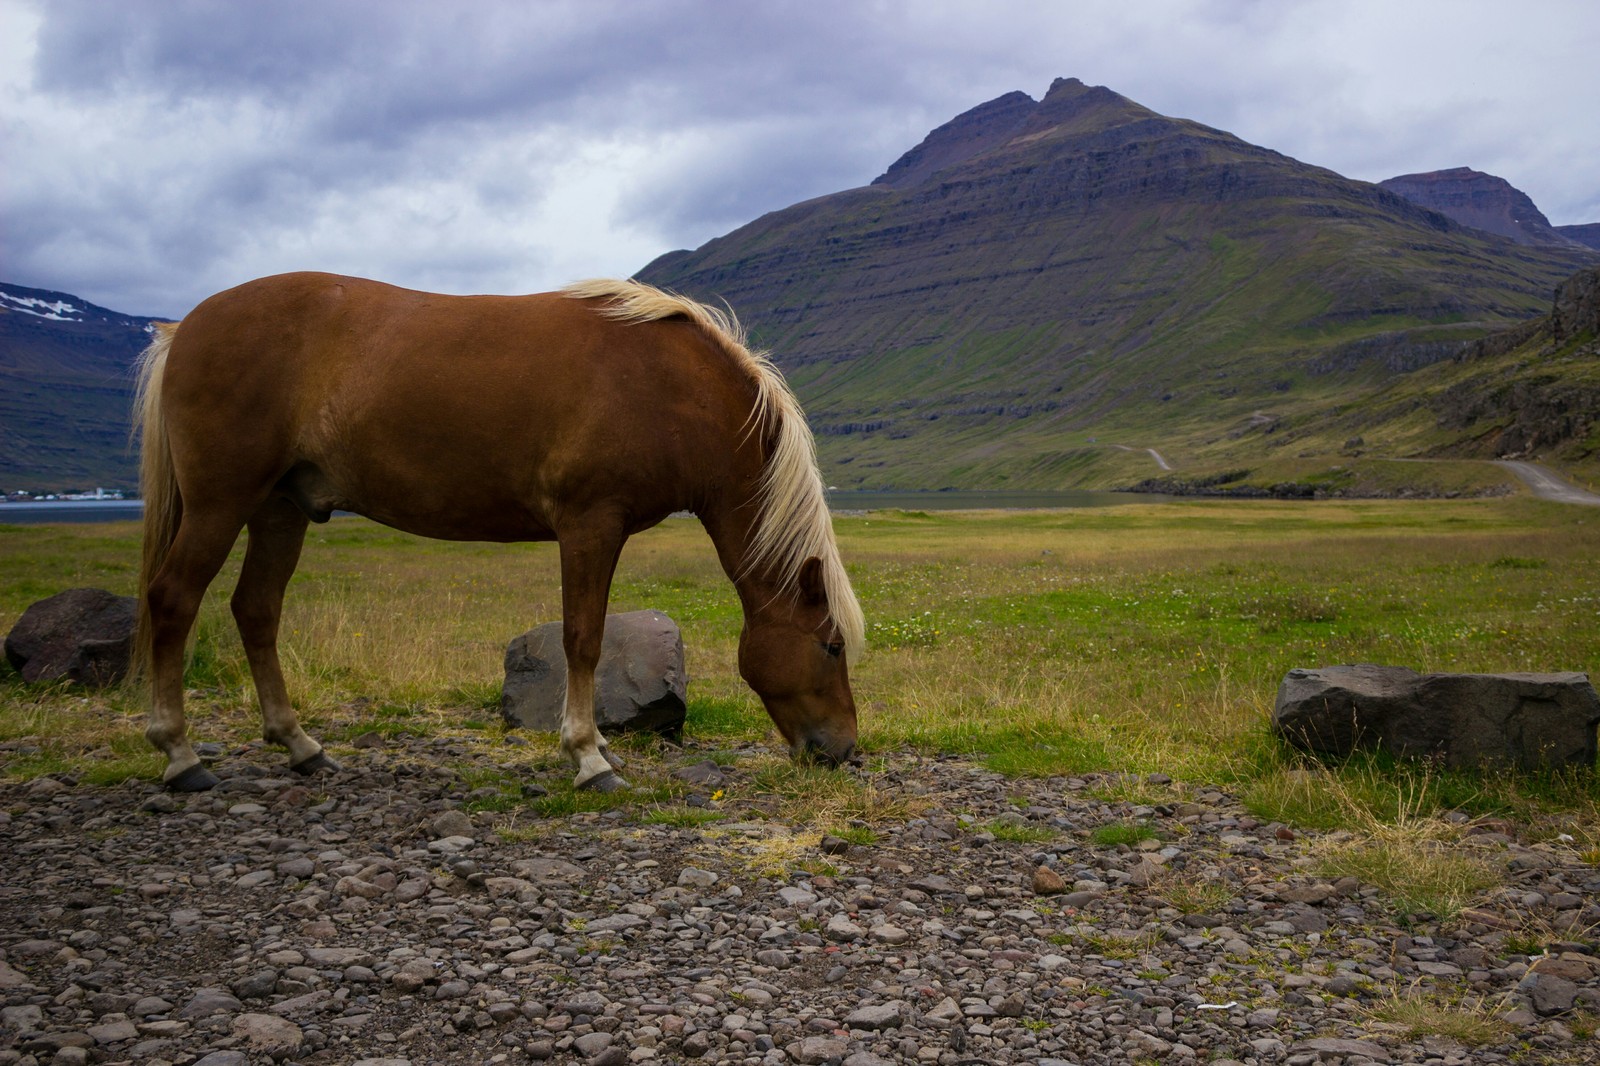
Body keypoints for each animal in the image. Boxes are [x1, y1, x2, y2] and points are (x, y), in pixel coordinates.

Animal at [136, 272, 864, 787]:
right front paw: (587, 757)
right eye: (831, 646)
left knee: (256, 611)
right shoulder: (590, 525)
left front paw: (597, 747)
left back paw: (301, 746)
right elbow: (583, 639)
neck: (664, 389)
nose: (845, 751)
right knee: (174, 600)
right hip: (221, 502)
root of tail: (185, 326)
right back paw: (180, 754)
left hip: (280, 508)